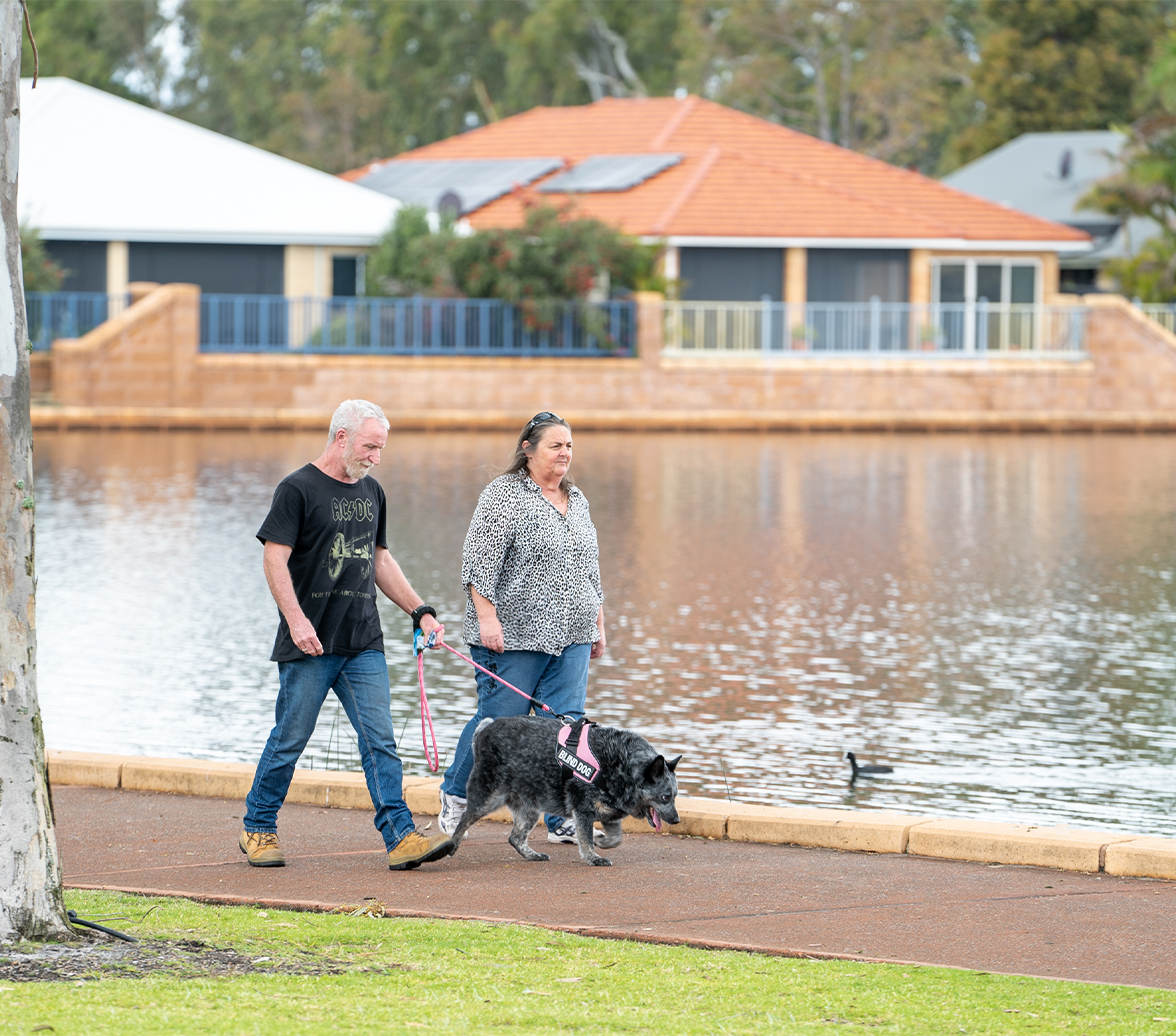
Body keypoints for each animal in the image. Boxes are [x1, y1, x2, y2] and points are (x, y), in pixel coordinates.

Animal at [444, 710, 682, 865]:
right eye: (665, 797)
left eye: (675, 796)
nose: (677, 820)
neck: (618, 767)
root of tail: (485, 730)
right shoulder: (583, 808)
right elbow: (586, 840)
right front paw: (593, 857)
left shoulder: (610, 812)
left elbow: (615, 839)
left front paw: (603, 842)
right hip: (487, 798)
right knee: (465, 819)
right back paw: (451, 844)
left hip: (529, 808)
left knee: (515, 837)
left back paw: (532, 855)